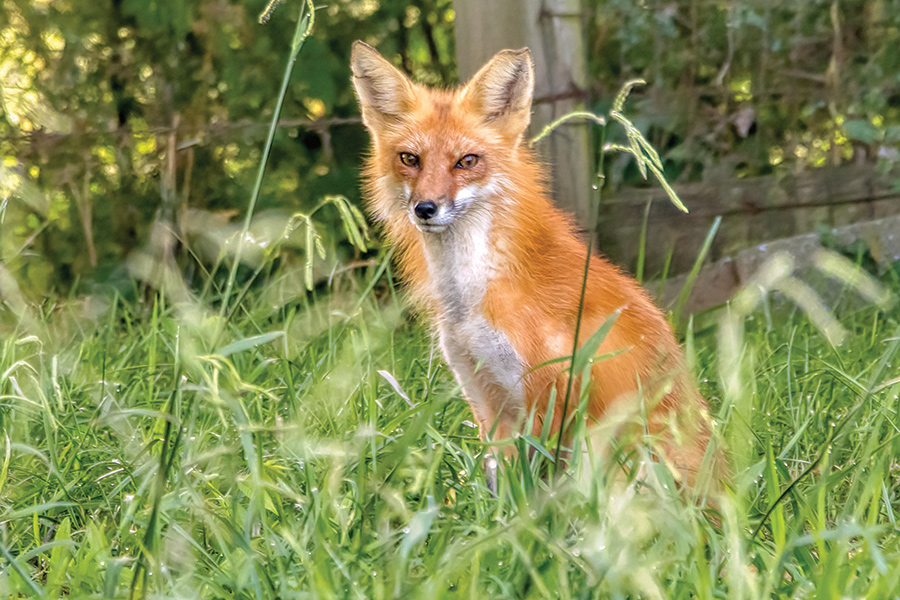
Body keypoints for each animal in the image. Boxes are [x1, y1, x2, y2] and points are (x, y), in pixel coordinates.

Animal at [350, 41, 717, 486]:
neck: (470, 303)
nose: (425, 208)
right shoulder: (484, 397)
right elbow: (498, 485)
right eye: (410, 158)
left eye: (467, 161)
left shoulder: (546, 395)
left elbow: (537, 489)